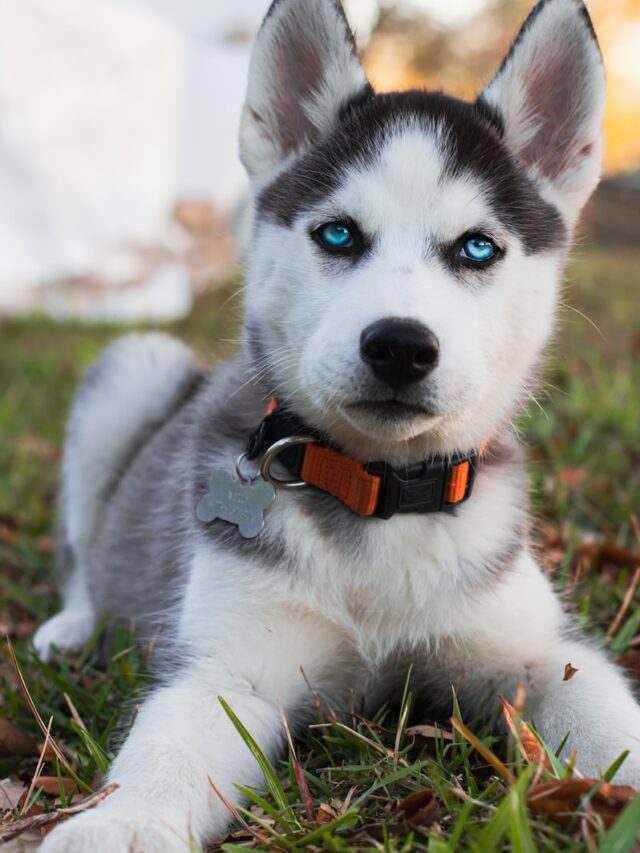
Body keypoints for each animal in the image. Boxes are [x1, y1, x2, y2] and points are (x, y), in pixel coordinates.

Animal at [36, 1, 640, 844]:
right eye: (338, 233)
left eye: (477, 247)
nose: (400, 345)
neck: (378, 493)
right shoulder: (229, 673)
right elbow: (166, 754)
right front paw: (118, 825)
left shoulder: (544, 653)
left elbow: (608, 717)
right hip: (136, 366)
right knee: (81, 550)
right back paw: (71, 627)